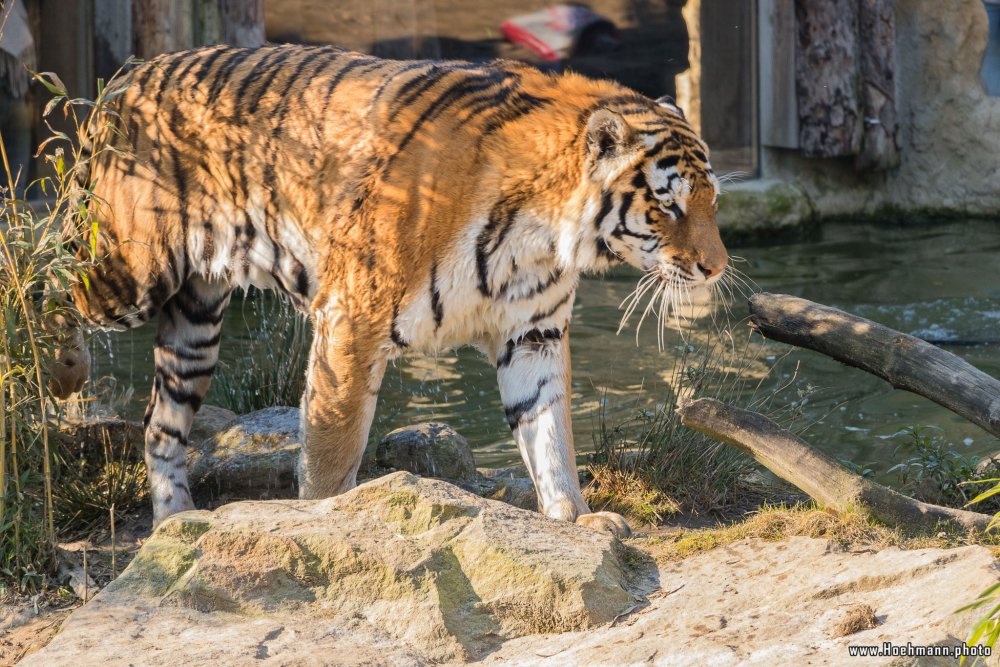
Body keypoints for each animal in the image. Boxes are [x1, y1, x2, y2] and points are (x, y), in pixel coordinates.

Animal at [54, 44, 728, 536]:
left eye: (712, 200)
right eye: (668, 205)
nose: (717, 268)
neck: (541, 229)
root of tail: (124, 80)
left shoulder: (532, 333)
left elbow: (550, 435)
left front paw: (576, 520)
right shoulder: (352, 323)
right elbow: (332, 451)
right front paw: (319, 525)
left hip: (194, 322)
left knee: (159, 426)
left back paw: (175, 525)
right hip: (128, 269)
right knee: (49, 272)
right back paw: (64, 371)